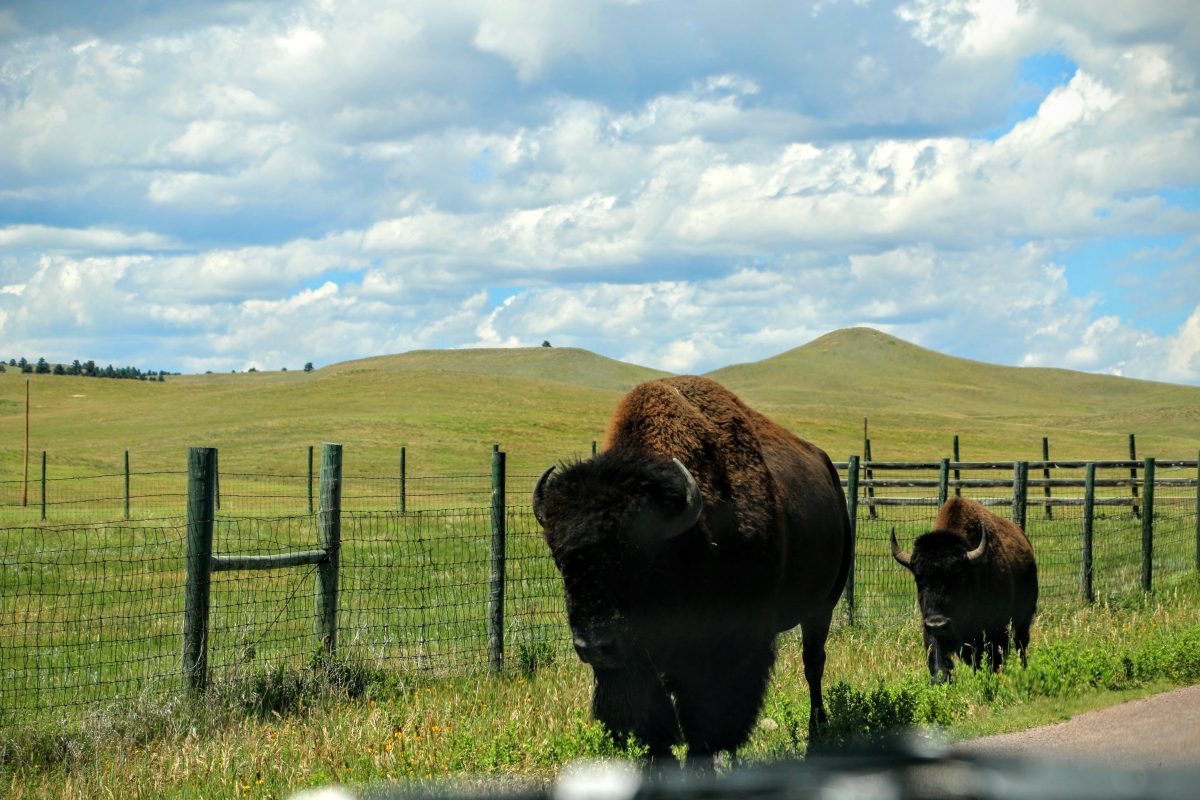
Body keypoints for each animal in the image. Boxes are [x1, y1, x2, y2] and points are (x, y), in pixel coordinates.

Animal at [535, 376, 854, 767]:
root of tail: (830, 472)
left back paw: (815, 734)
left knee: (813, 663)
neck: (692, 537)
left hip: (823, 606)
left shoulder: (732, 643)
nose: (595, 647)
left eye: (642, 559)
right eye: (559, 558)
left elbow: (711, 711)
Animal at [892, 496, 1041, 686]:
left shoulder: (996, 631)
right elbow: (939, 659)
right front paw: (940, 680)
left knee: (1021, 646)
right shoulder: (931, 630)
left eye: (958, 576)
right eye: (919, 578)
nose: (937, 623)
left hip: (1023, 621)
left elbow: (995, 659)